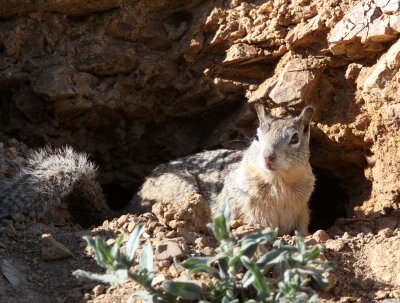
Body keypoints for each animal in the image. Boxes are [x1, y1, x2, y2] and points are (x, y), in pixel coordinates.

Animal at [133, 105, 314, 236]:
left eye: (295, 138)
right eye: (256, 136)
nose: (268, 156)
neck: (278, 182)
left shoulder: (302, 212)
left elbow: (302, 231)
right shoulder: (246, 208)